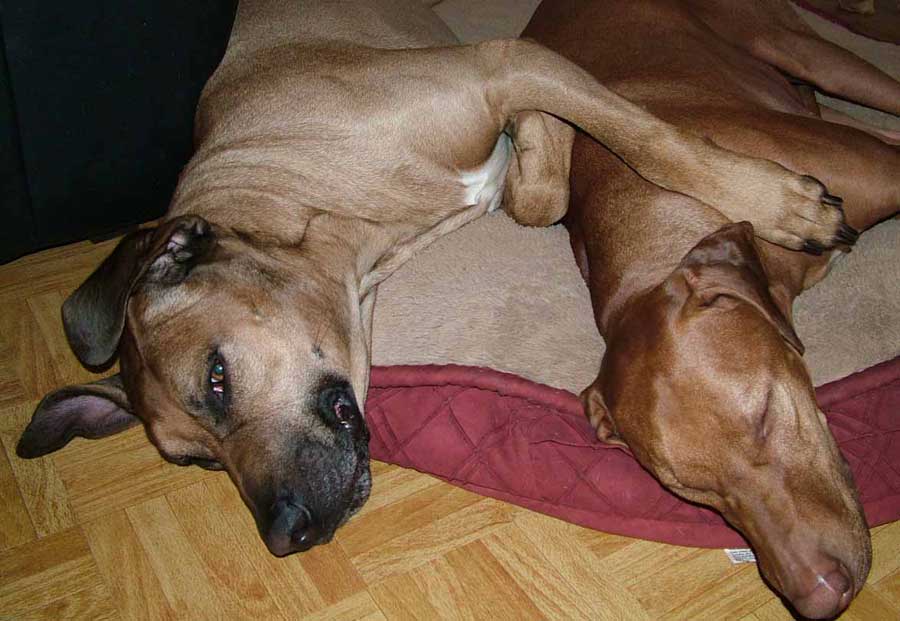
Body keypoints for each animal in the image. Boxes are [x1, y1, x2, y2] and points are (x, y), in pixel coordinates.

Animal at [17, 0, 852, 558]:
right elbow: (537, 195)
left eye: (217, 377)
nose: (287, 532)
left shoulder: (503, 61)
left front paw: (776, 203)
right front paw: (539, 153)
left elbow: (645, 139)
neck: (305, 195)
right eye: (192, 460)